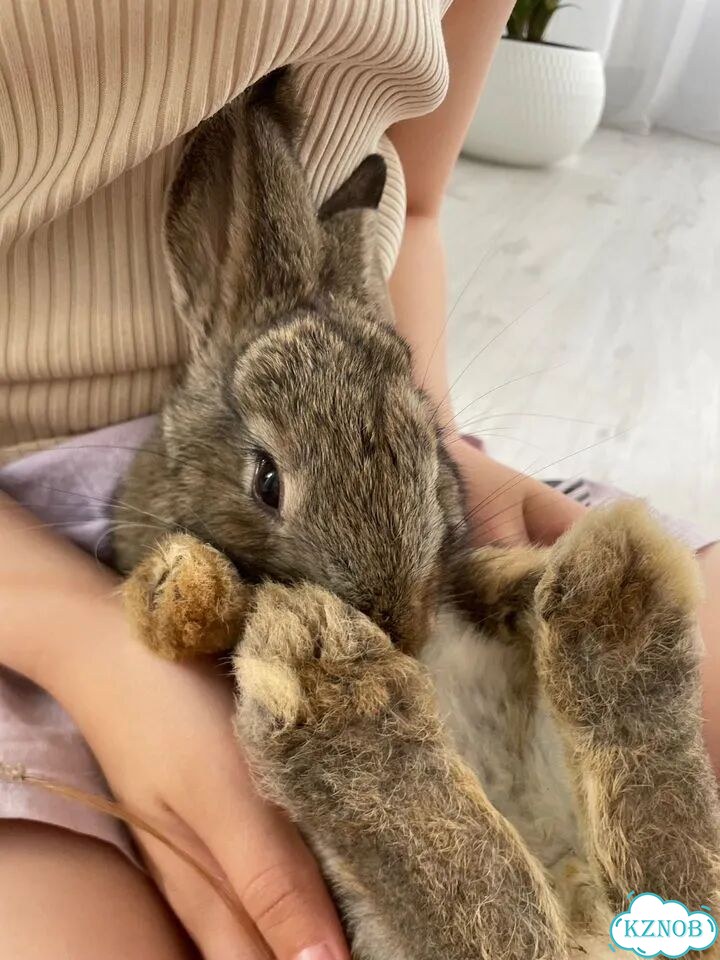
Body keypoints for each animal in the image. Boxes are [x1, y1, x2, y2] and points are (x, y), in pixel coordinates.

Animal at [113, 69, 720, 959]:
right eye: (266, 481)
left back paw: (611, 596)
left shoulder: (469, 578)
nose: (399, 626)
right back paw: (337, 677)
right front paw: (187, 589)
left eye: (428, 447)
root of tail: (590, 916)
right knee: (497, 909)